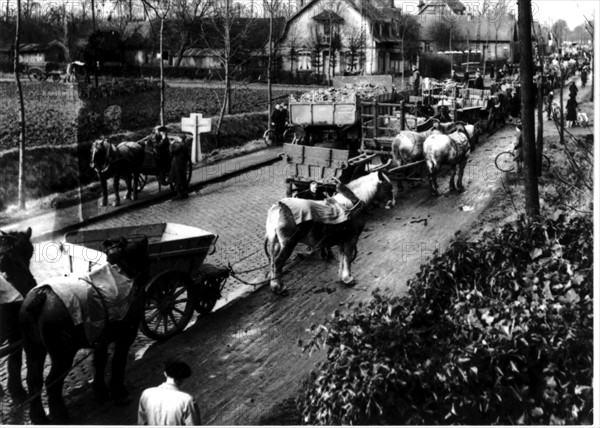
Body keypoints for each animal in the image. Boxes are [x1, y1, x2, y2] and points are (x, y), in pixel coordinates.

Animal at [19, 237, 150, 424]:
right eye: (146, 256)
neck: (123, 270)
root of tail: (41, 296)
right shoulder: (126, 335)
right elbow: (118, 362)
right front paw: (119, 393)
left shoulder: (101, 340)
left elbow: (100, 363)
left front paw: (101, 392)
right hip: (63, 354)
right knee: (52, 382)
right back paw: (60, 415)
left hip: (33, 348)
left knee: (33, 381)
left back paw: (38, 417)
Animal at [262, 170, 394, 294]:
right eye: (387, 187)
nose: (392, 204)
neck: (353, 202)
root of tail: (279, 206)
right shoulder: (351, 239)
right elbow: (347, 258)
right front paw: (348, 278)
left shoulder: (342, 240)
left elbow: (343, 258)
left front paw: (343, 277)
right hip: (288, 244)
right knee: (278, 262)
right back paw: (279, 287)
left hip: (277, 243)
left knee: (273, 261)